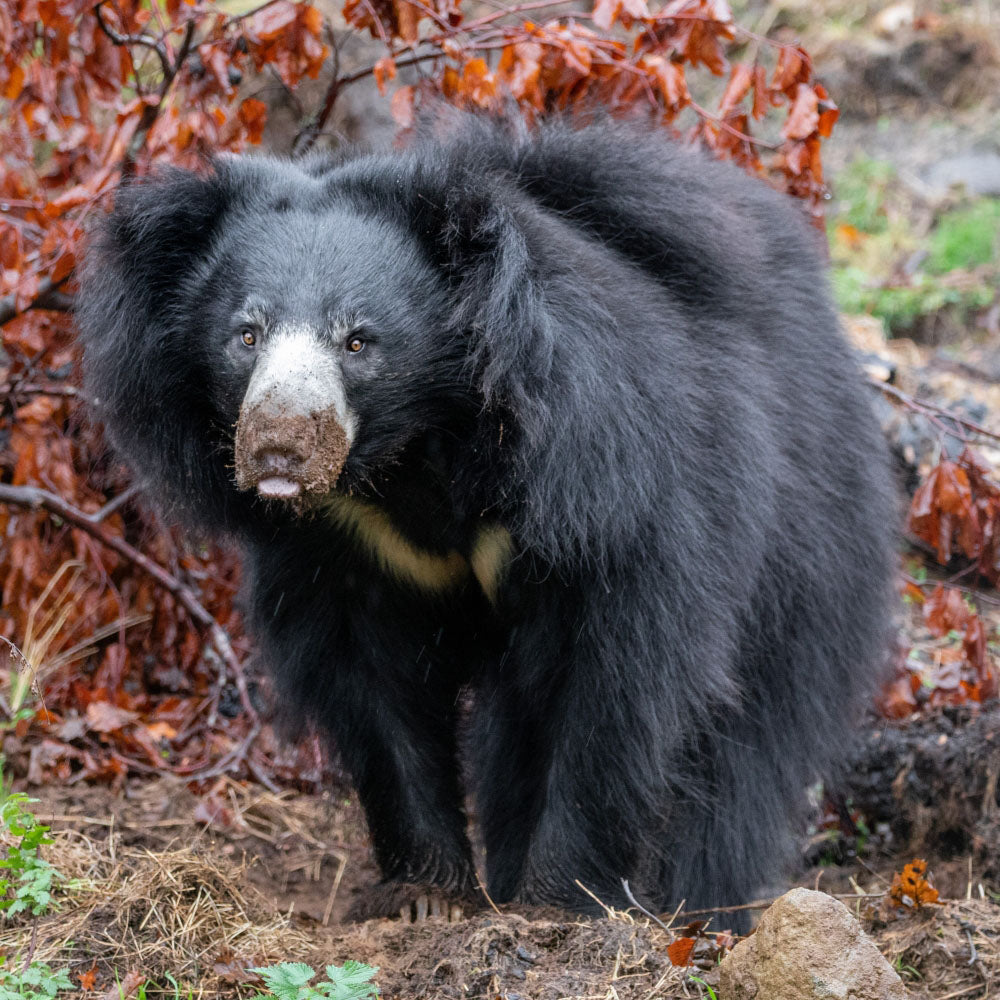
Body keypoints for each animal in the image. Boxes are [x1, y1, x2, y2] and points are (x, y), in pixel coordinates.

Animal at [77, 113, 896, 926]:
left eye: (358, 341)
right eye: (246, 334)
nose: (278, 444)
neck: (416, 455)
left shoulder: (611, 494)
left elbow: (614, 689)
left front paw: (559, 901)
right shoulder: (346, 544)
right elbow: (375, 692)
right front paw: (428, 895)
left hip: (806, 546)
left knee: (744, 747)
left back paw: (703, 905)